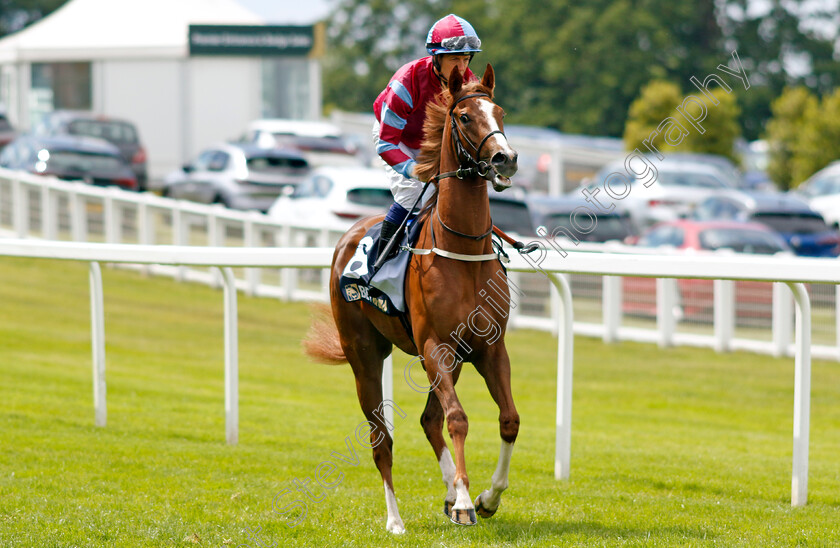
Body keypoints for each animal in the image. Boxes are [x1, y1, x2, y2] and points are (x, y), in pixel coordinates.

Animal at [306, 64, 520, 536]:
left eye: (500, 112)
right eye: (464, 117)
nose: (505, 158)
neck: (462, 251)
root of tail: (348, 237)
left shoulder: (488, 347)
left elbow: (508, 419)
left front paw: (485, 497)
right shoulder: (434, 344)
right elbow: (458, 418)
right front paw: (465, 501)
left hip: (448, 359)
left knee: (428, 420)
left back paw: (450, 493)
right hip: (366, 355)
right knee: (381, 438)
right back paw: (395, 519)